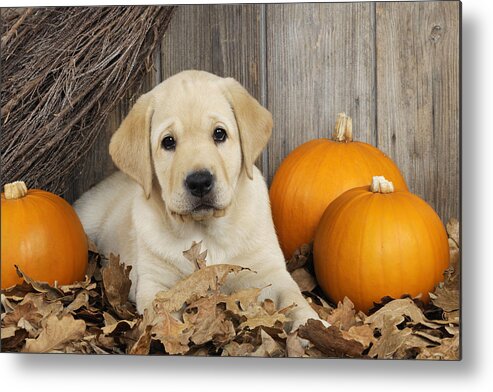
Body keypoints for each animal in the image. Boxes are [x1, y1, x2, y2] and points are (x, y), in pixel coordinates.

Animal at [72, 70, 320, 330]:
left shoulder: (269, 271)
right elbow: (162, 315)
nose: (200, 182)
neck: (206, 232)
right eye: (168, 142)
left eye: (219, 133)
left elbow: (293, 297)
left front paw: (311, 324)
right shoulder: (155, 283)